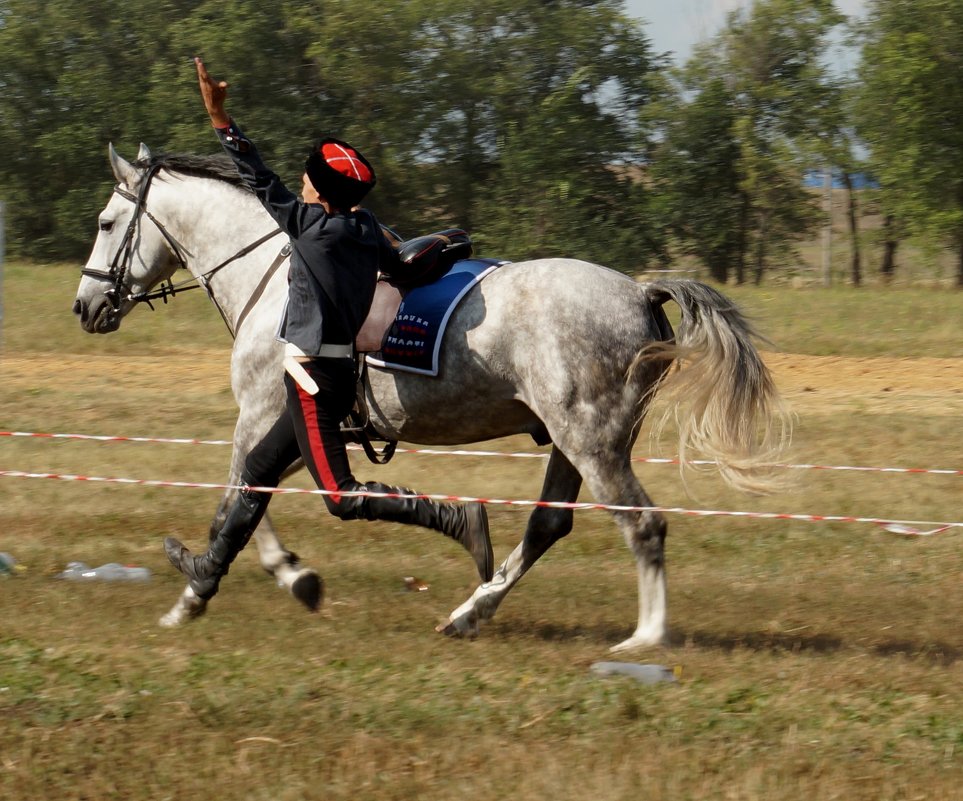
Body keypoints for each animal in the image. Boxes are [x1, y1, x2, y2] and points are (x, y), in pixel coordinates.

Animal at [71, 142, 788, 648]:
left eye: (105, 222)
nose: (84, 307)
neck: (280, 278)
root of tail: (641, 291)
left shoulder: (265, 414)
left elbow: (238, 498)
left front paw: (204, 591)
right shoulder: (310, 427)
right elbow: (260, 493)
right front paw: (287, 574)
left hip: (591, 441)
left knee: (641, 523)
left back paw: (645, 637)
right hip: (573, 442)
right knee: (548, 524)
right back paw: (471, 611)